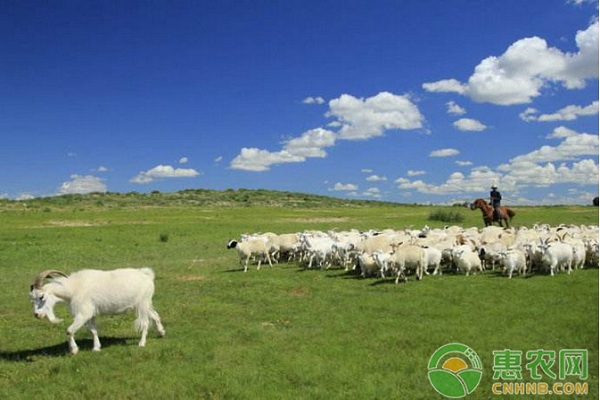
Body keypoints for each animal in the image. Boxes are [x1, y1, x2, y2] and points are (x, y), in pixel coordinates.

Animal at [28, 268, 164, 354]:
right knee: (155, 315)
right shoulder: (91, 314)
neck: (73, 288)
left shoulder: (83, 313)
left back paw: (141, 343)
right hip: (143, 304)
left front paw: (74, 350)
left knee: (145, 323)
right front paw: (96, 348)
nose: (37, 314)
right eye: (32, 299)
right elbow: (93, 330)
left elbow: (69, 330)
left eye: (42, 296)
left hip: (142, 304)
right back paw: (161, 333)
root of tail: (147, 275)